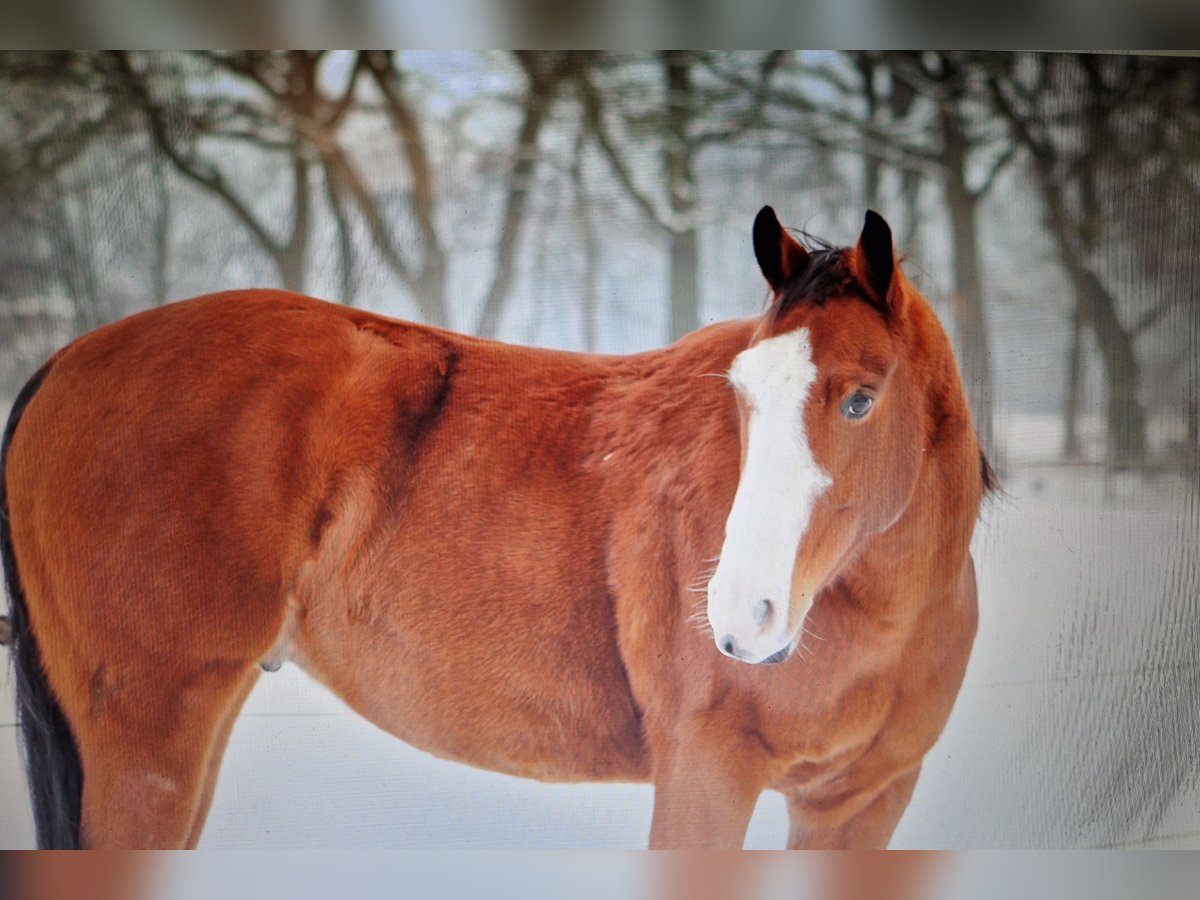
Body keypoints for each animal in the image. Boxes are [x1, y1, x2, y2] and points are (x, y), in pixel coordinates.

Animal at [1, 207, 993, 849]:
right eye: (743, 394)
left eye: (861, 397)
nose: (741, 615)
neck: (875, 620)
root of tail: (64, 360)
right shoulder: (706, 778)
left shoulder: (860, 804)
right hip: (150, 739)